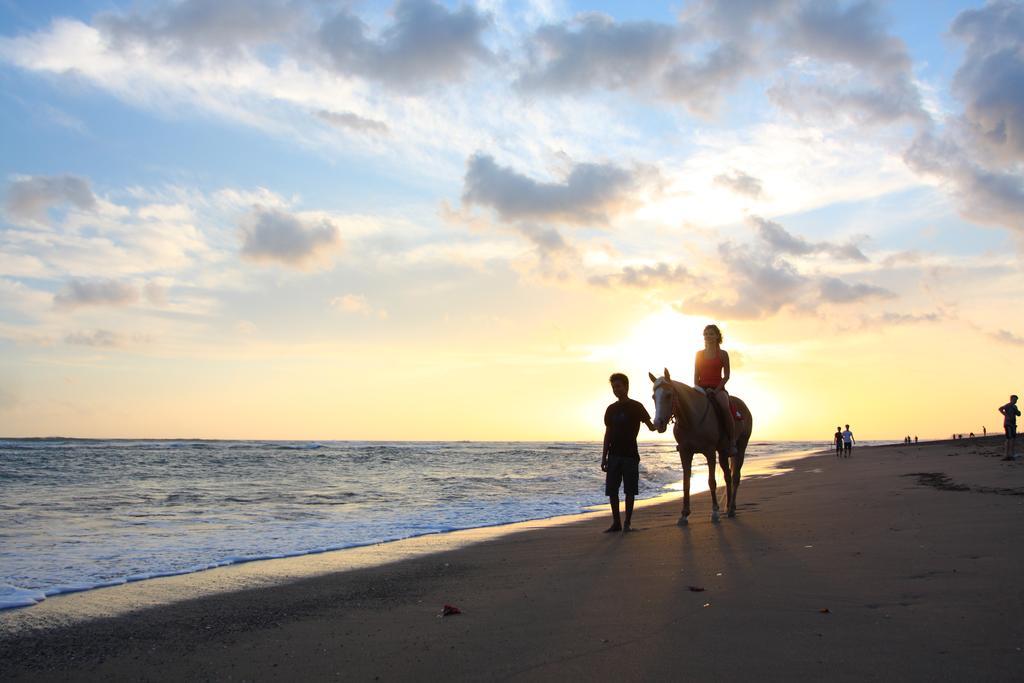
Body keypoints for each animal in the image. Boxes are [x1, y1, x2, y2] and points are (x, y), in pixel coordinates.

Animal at [647, 368, 753, 524]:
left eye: (669, 395)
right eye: (654, 396)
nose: (658, 423)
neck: (691, 419)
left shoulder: (709, 452)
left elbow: (711, 481)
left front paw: (714, 512)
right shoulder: (685, 452)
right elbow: (686, 483)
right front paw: (684, 514)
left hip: (741, 447)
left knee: (735, 477)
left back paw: (732, 509)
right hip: (722, 452)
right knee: (728, 477)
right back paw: (728, 507)